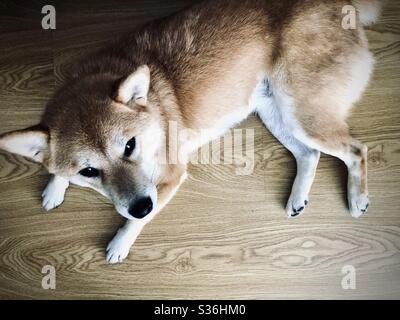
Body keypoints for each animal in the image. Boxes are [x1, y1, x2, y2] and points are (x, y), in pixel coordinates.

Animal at [0, 0, 382, 264]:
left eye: (130, 146)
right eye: (89, 171)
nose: (141, 206)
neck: (153, 113)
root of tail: (338, 4)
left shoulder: (169, 177)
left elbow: (134, 224)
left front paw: (121, 242)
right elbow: (54, 161)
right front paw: (55, 186)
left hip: (300, 113)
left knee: (355, 150)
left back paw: (357, 198)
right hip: (278, 113)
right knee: (309, 154)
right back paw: (298, 198)